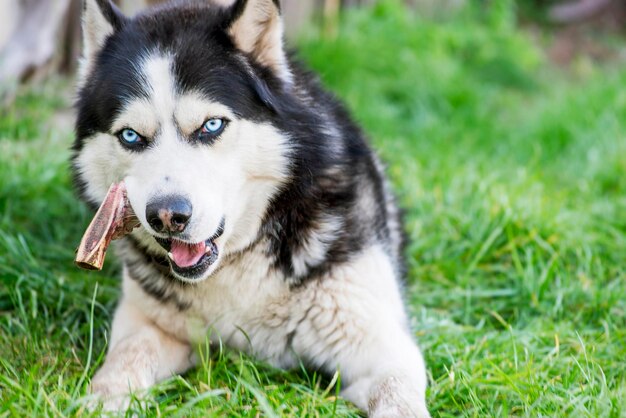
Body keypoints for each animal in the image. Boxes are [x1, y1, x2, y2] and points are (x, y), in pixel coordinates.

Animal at [70, 0, 426, 414]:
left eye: (211, 126)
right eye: (130, 136)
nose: (168, 216)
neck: (237, 266)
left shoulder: (380, 344)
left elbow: (397, 395)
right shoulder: (149, 322)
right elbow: (126, 357)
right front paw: (101, 402)